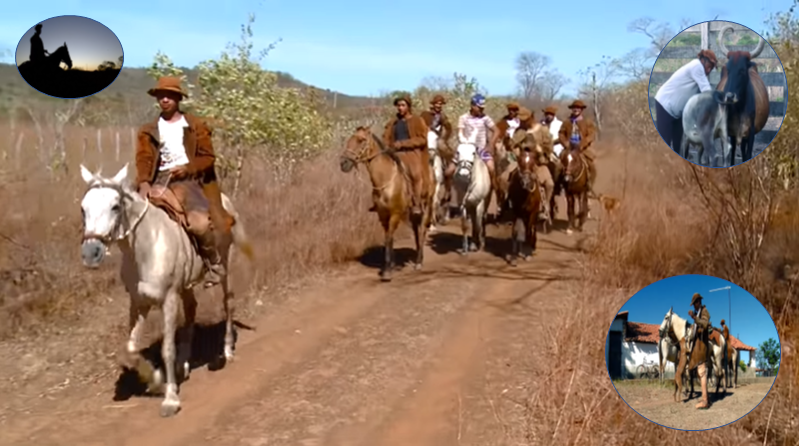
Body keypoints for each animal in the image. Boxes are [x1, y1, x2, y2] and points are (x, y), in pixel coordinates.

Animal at [78, 164, 253, 418]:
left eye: (115, 206)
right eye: (83, 209)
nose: (91, 253)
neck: (146, 248)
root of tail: (225, 201)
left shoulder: (168, 300)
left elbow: (167, 349)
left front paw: (171, 399)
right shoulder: (138, 303)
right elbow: (130, 349)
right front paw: (156, 381)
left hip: (226, 266)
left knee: (228, 303)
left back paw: (227, 350)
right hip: (185, 287)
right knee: (191, 311)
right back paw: (184, 365)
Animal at [340, 126, 434, 282]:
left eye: (361, 140)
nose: (343, 163)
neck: (385, 180)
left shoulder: (395, 214)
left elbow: (389, 237)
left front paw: (388, 271)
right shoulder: (382, 215)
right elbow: (387, 238)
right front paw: (390, 265)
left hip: (427, 205)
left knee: (423, 230)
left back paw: (419, 262)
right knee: (416, 230)